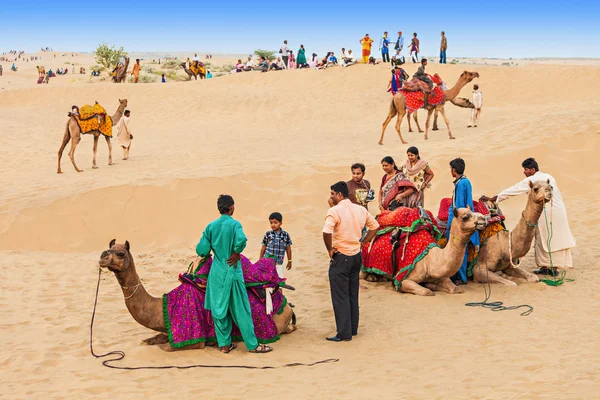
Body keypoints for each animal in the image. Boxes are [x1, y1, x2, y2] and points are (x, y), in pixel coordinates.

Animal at [98, 241, 296, 350]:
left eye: (121, 253)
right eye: (109, 248)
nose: (102, 256)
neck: (162, 308)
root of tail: (287, 307)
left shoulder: (193, 341)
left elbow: (164, 348)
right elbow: (147, 341)